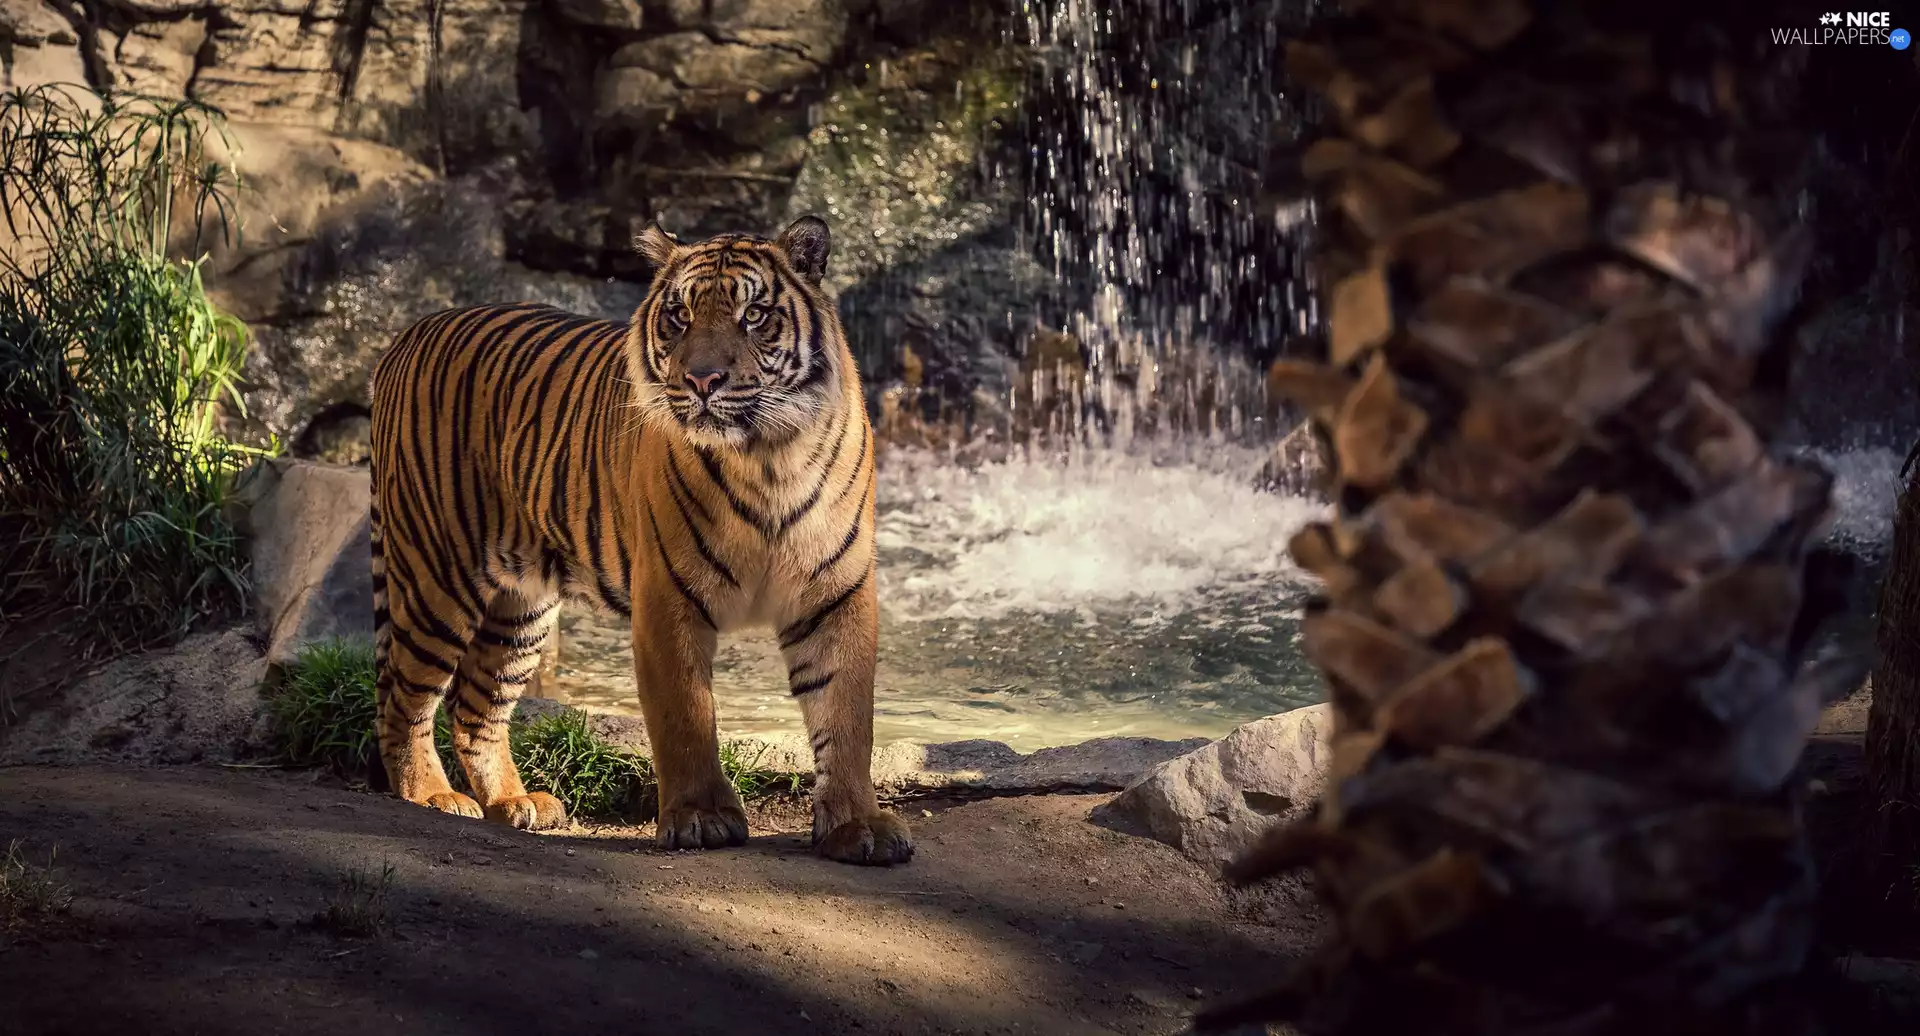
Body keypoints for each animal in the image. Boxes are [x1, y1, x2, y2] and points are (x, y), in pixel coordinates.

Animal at [366, 215, 913, 866]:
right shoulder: (668, 598)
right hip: (436, 576)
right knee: (403, 697)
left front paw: (858, 825)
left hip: (521, 606)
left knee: (476, 704)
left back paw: (516, 803)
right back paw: (431, 794)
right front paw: (702, 818)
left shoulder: (836, 594)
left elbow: (847, 718)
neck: (768, 457)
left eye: (753, 315)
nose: (702, 379)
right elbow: (686, 716)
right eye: (679, 315)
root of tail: (407, 333)